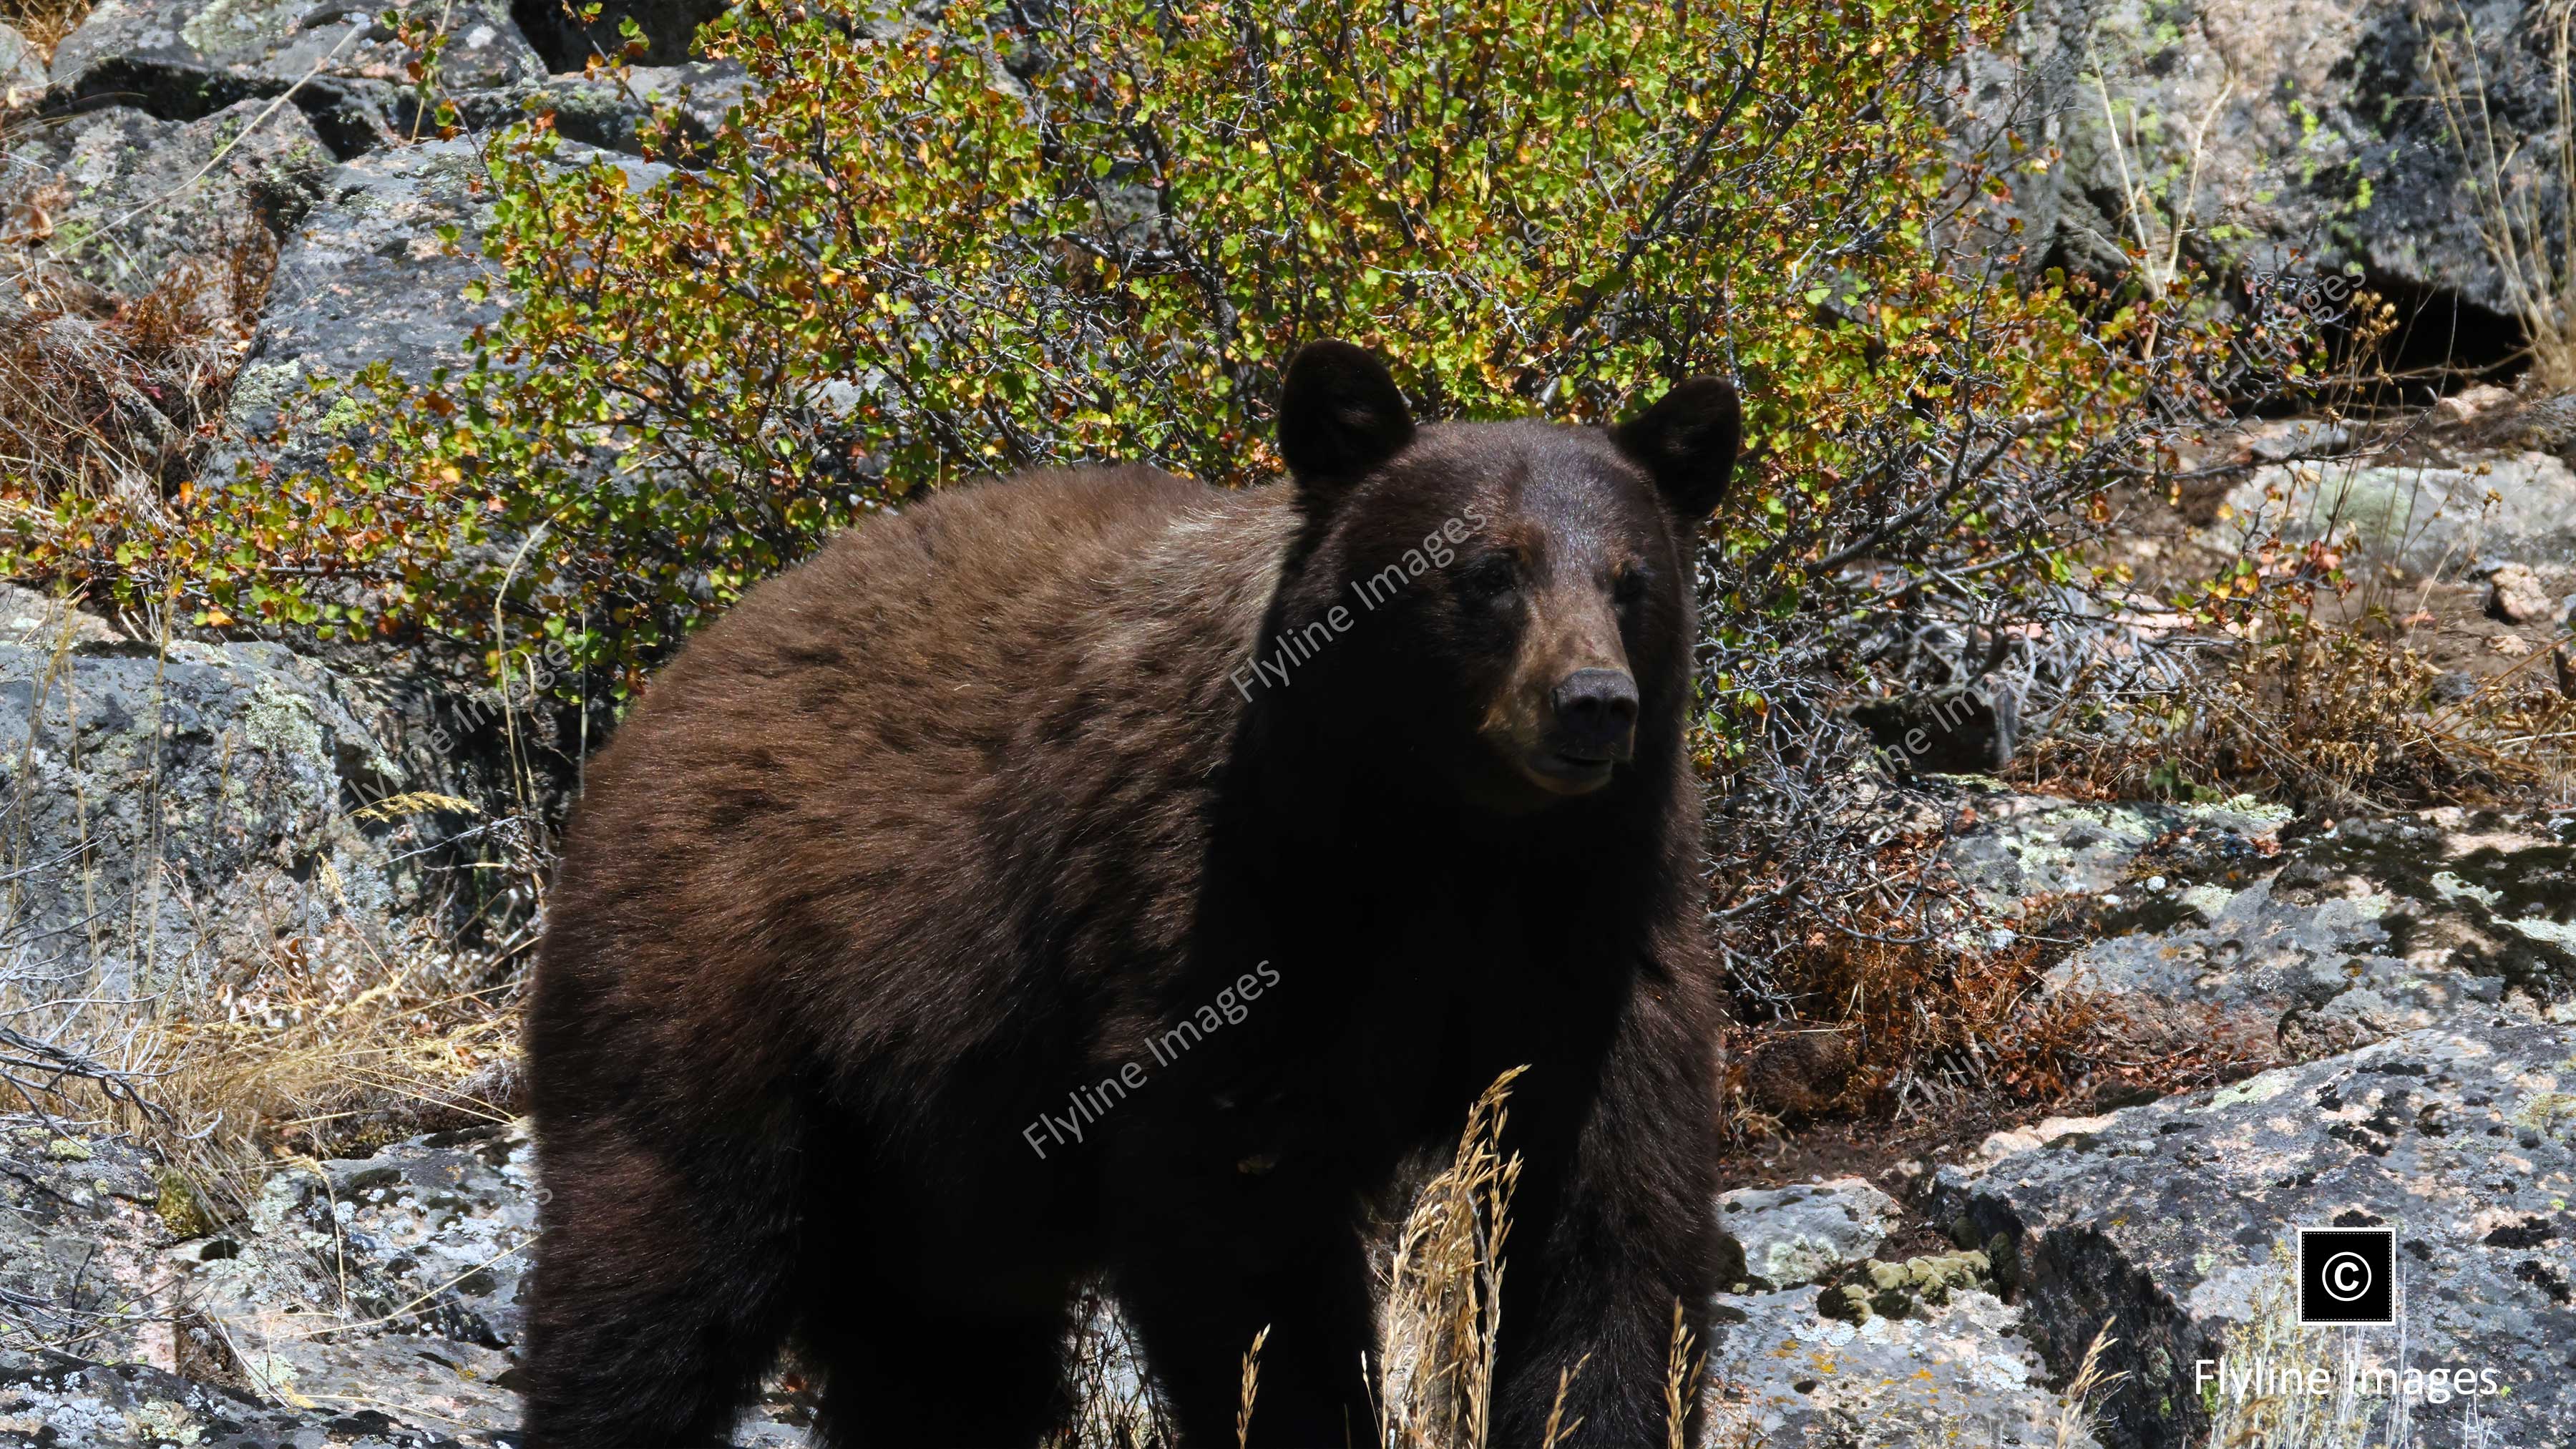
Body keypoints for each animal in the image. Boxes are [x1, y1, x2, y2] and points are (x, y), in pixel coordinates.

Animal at [521, 341, 1740, 1448]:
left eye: (1632, 583)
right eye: (1488, 572)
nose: (1594, 703)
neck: (1450, 833)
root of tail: (674, 687)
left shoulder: (1597, 927)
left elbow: (1603, 1216)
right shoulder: (1225, 895)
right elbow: (1240, 1227)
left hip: (924, 1162)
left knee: (944, 1360)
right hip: (721, 981)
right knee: (663, 1270)